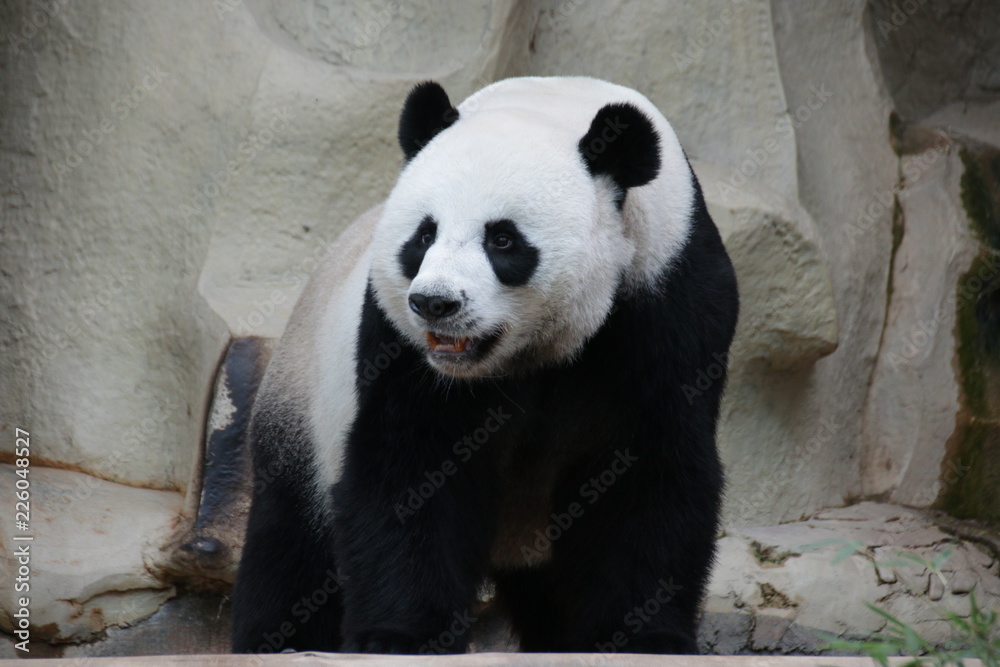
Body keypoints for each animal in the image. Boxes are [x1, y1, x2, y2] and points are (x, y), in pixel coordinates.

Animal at [231, 76, 738, 655]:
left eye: (502, 239)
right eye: (423, 235)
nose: (435, 303)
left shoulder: (669, 298)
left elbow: (648, 471)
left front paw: (642, 637)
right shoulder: (397, 341)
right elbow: (412, 462)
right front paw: (403, 637)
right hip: (307, 406)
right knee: (293, 549)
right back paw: (277, 640)